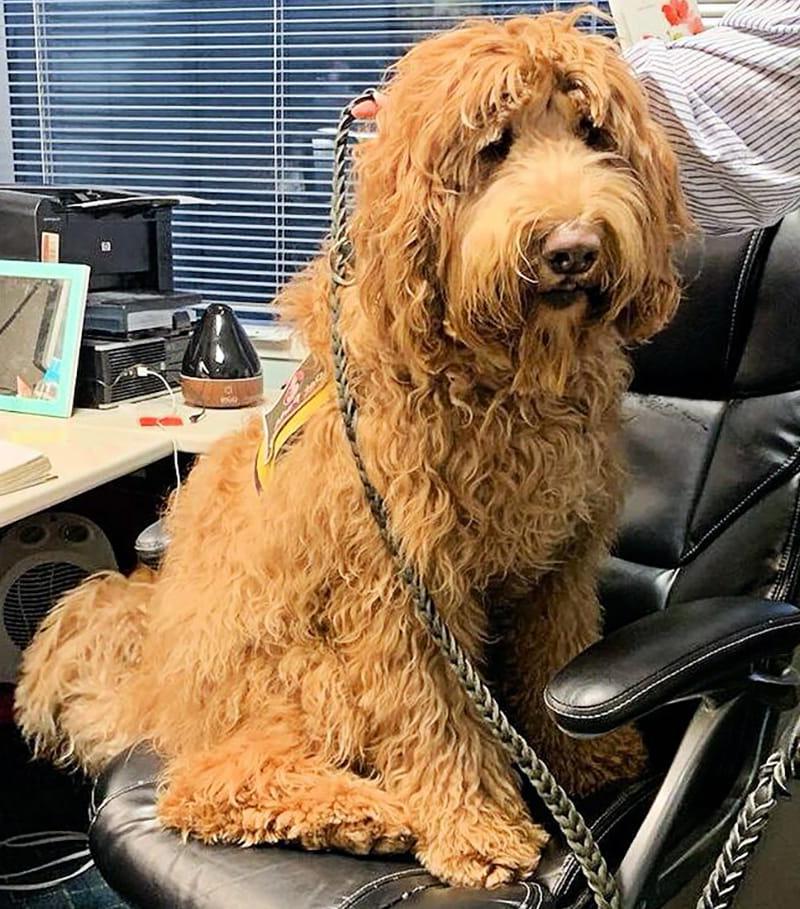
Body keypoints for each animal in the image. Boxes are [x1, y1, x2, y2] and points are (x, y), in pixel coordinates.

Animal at [14, 10, 688, 892]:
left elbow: (557, 661)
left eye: (593, 132)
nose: (572, 247)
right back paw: (370, 813)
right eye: (494, 146)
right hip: (301, 670)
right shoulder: (404, 594)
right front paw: (475, 827)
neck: (500, 376)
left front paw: (589, 757)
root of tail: (158, 687)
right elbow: (439, 719)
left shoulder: (561, 567)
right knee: (206, 782)